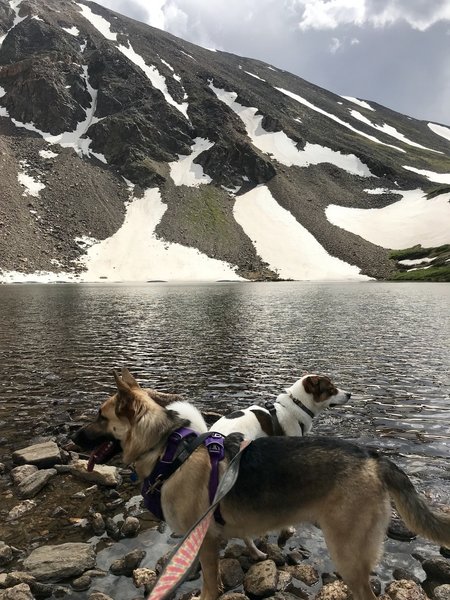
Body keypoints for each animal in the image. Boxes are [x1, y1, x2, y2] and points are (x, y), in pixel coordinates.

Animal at [72, 368, 450, 600]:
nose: (74, 438)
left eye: (100, 417)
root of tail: (375, 458)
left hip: (349, 554)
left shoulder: (204, 541)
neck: (169, 450)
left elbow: (210, 585)